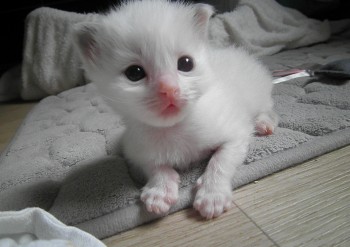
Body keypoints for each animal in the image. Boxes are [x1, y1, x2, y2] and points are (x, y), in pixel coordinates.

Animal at [72, 0, 278, 220]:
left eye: (186, 63)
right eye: (134, 73)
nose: (169, 89)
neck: (174, 127)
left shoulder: (235, 132)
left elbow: (221, 160)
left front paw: (212, 193)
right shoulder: (135, 149)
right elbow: (153, 165)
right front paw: (160, 189)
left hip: (259, 92)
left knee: (269, 108)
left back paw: (264, 122)